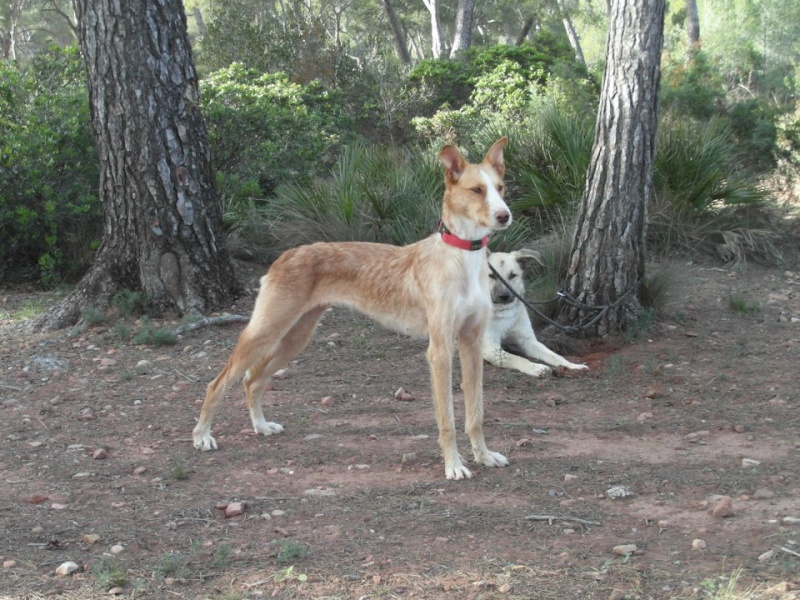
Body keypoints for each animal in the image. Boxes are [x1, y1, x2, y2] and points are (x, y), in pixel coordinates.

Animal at [194, 138, 512, 480]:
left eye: (500, 187)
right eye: (476, 190)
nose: (505, 216)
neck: (462, 257)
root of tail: (285, 255)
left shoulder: (471, 343)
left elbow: (476, 413)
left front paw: (483, 456)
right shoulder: (439, 350)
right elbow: (448, 421)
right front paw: (453, 465)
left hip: (296, 336)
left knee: (252, 379)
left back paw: (261, 426)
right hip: (265, 330)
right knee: (218, 383)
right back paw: (202, 435)